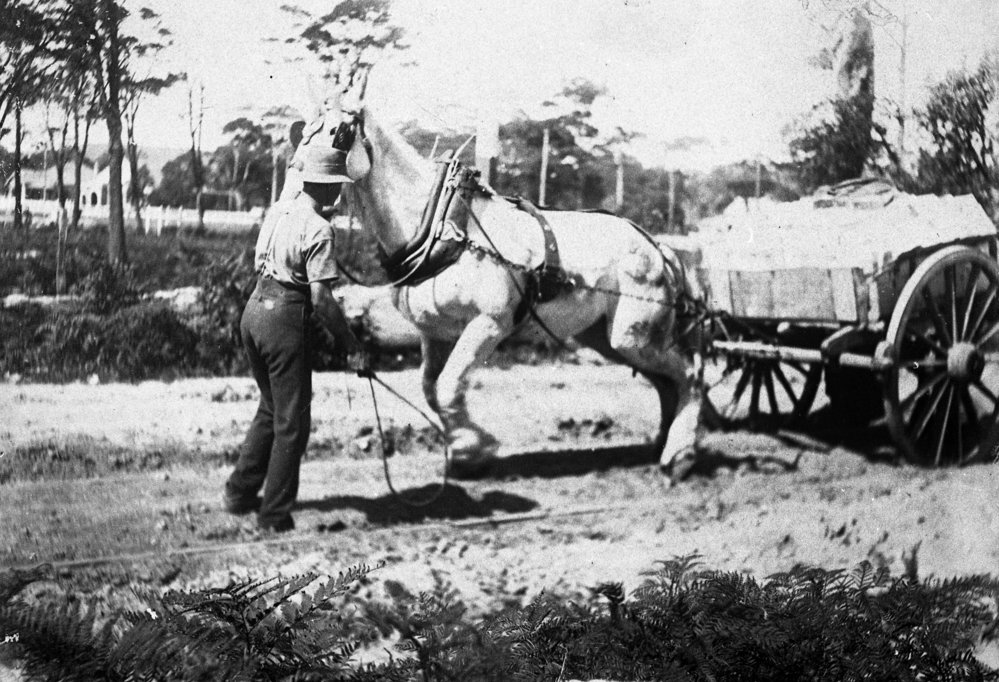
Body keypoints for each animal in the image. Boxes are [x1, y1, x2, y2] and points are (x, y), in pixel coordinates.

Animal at [338, 99, 704, 479]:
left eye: (335, 130)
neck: (444, 225)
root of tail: (659, 248)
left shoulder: (489, 323)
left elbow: (448, 385)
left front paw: (475, 449)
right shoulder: (434, 333)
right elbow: (430, 389)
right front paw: (467, 450)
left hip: (633, 336)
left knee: (690, 375)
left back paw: (680, 456)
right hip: (607, 338)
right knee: (666, 382)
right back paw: (662, 445)